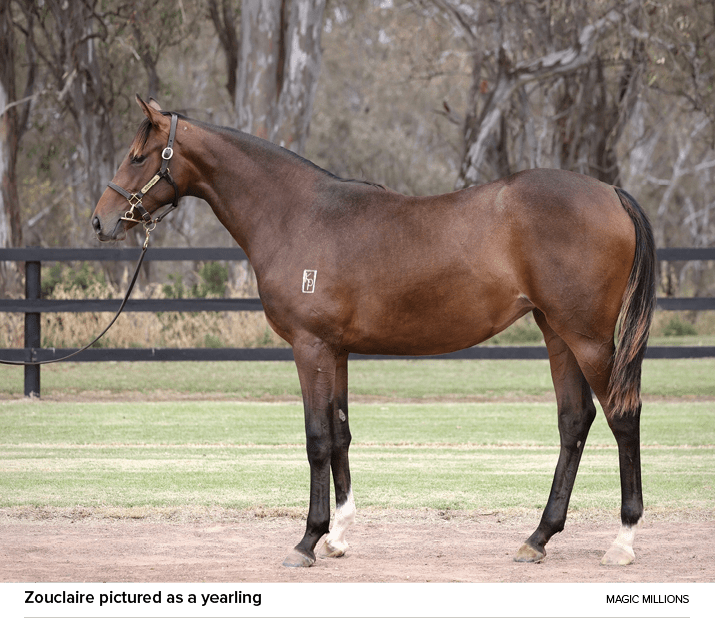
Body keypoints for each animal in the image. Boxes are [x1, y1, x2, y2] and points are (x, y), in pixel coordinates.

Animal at [92, 97, 656, 568]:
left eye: (139, 156)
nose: (101, 221)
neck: (296, 214)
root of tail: (610, 193)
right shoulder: (336, 351)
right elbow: (341, 433)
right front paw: (338, 537)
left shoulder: (310, 348)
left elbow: (317, 439)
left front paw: (307, 541)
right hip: (556, 333)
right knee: (574, 421)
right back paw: (538, 538)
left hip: (587, 338)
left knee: (621, 416)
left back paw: (623, 542)